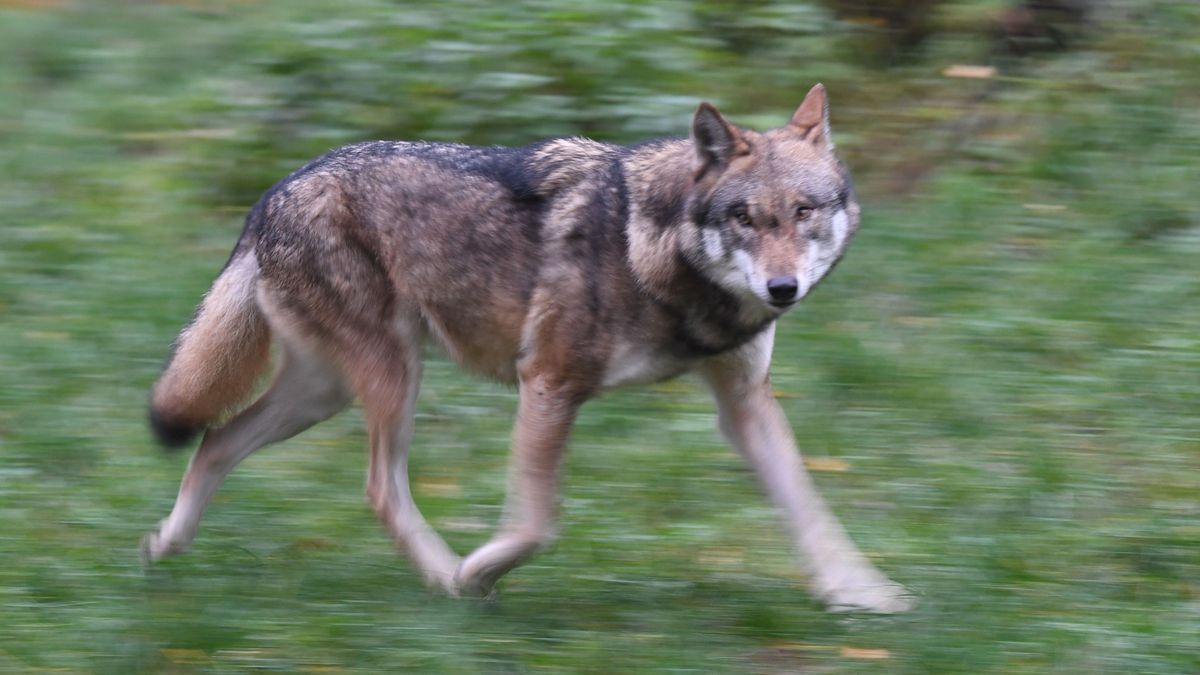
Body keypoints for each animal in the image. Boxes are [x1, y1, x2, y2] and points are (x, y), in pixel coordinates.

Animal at [143, 85, 911, 612]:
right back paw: (446, 579)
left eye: (804, 212)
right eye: (746, 218)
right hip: (391, 378)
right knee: (378, 489)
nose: (782, 288)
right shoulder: (548, 382)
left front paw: (863, 594)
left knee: (216, 439)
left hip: (324, 392)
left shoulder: (745, 404)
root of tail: (272, 192)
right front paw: (478, 570)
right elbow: (538, 523)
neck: (656, 252)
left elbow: (810, 508)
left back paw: (165, 546)